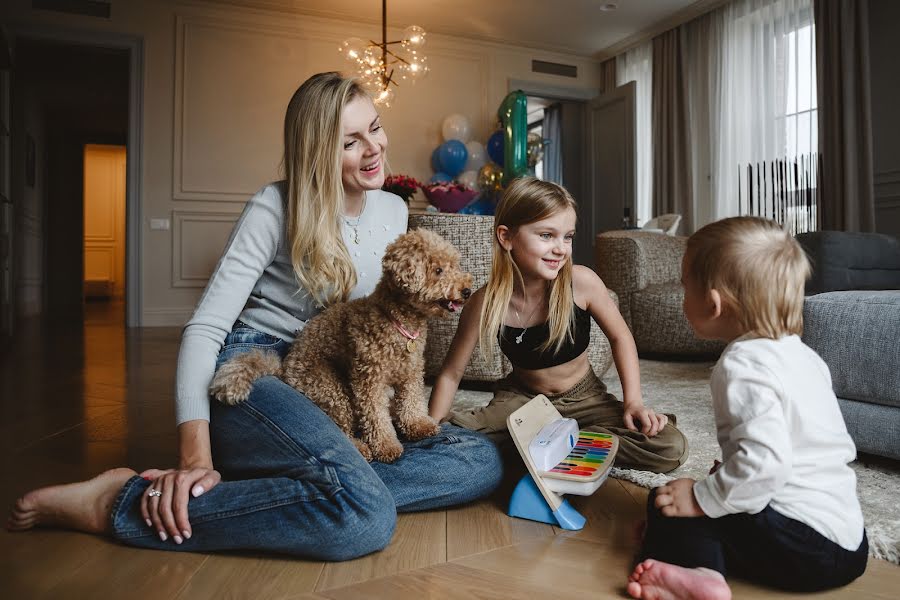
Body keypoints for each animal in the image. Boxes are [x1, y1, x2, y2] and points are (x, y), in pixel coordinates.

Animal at [208, 227, 474, 462]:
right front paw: (386, 447)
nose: (467, 290)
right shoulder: (369, 381)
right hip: (331, 388)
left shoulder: (411, 372)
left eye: (455, 265)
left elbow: (411, 401)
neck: (398, 319)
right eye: (438, 270)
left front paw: (418, 426)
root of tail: (284, 368)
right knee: (342, 430)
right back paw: (362, 448)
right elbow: (375, 417)